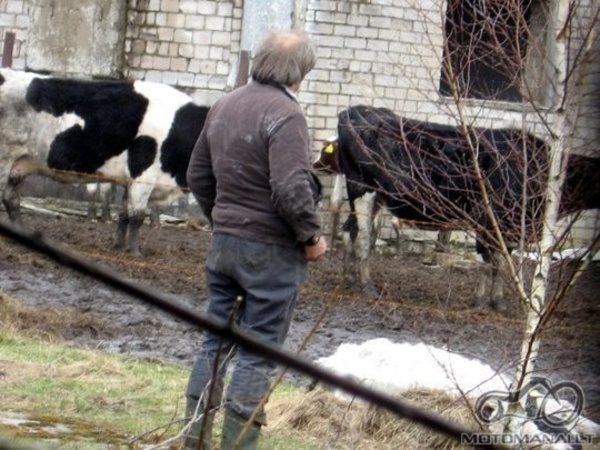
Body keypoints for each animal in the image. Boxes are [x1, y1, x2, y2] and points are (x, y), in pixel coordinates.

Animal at [0, 68, 210, 255]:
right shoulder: (144, 174)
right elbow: (137, 216)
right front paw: (135, 253)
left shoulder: (129, 180)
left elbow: (124, 214)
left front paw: (119, 247)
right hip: (4, 159)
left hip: (17, 165)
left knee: (11, 199)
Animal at [314, 105, 600, 308]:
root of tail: (355, 111)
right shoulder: (487, 218)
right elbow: (486, 262)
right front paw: (481, 301)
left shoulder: (507, 226)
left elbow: (501, 264)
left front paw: (499, 301)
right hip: (364, 192)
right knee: (362, 238)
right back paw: (366, 284)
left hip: (369, 197)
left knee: (349, 231)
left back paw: (349, 278)